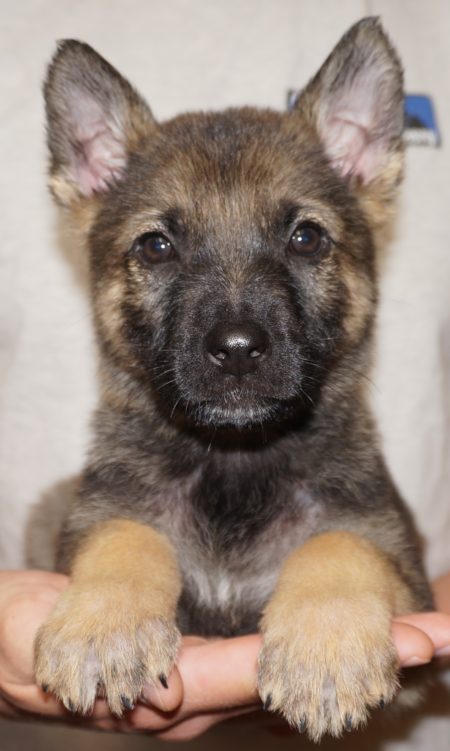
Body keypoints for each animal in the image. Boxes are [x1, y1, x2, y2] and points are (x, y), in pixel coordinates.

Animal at [34, 16, 432, 740]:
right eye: (156, 246)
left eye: (306, 238)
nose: (239, 350)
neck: (235, 462)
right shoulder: (99, 517)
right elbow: (127, 533)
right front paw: (103, 625)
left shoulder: (401, 568)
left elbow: (338, 542)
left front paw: (324, 648)